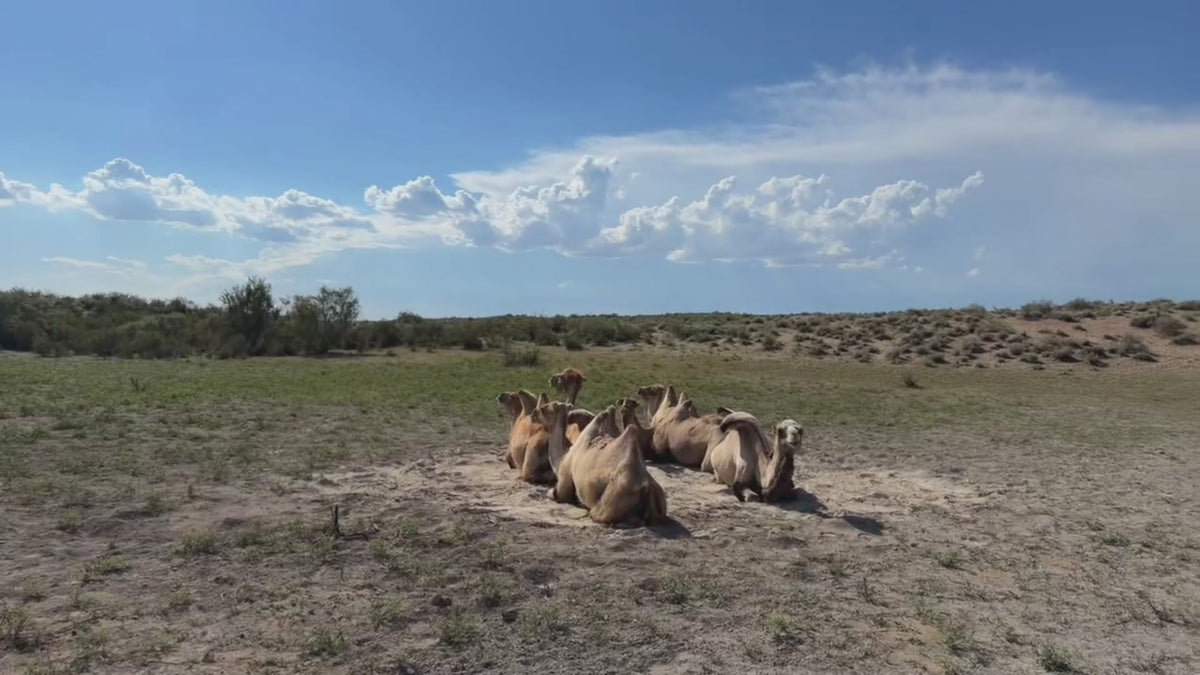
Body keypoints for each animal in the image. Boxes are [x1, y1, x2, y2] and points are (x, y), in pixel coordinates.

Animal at [536, 401, 668, 527]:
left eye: (546, 408)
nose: (536, 411)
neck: (562, 458)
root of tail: (646, 487)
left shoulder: (565, 480)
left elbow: (555, 494)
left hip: (612, 495)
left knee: (599, 515)